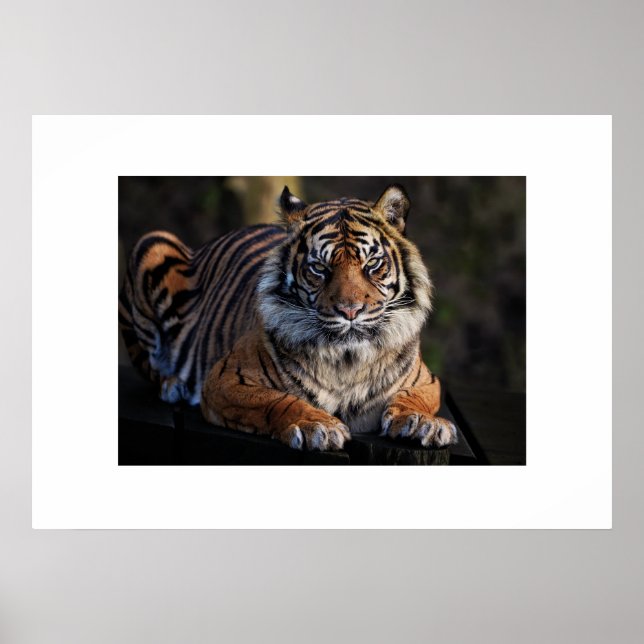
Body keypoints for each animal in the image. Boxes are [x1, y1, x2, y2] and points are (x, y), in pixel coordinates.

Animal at [119, 184, 457, 451]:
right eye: (320, 268)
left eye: (372, 264)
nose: (349, 310)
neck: (348, 361)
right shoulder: (225, 379)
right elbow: (277, 400)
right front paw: (317, 426)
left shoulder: (426, 380)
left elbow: (413, 397)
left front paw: (422, 422)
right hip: (153, 243)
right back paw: (173, 385)